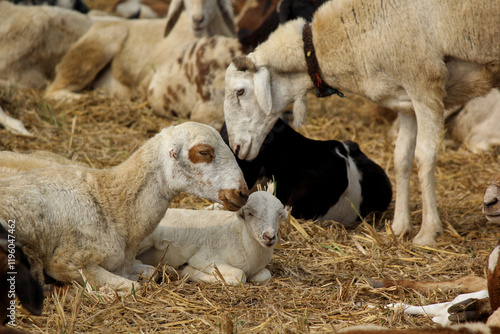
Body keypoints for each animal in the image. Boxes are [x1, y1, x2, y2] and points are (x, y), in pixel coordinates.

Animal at [0, 122, 248, 292]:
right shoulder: (67, 262)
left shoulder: (125, 264)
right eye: (204, 152)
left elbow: (156, 272)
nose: (243, 193)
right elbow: (136, 287)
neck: (112, 204)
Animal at [137, 190, 288, 284]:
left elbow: (265, 274)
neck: (240, 237)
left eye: (279, 215)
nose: (269, 236)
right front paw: (188, 271)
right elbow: (239, 276)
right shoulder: (205, 258)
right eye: (250, 214)